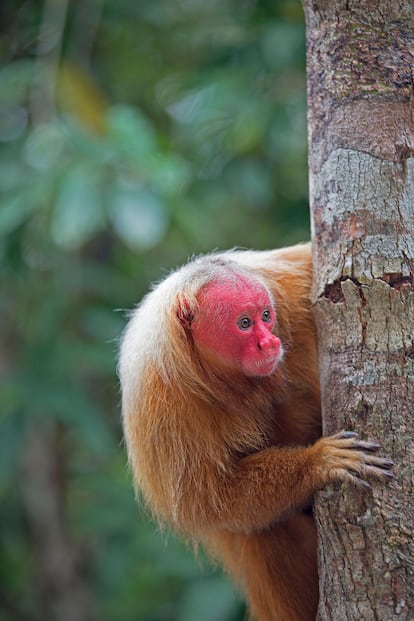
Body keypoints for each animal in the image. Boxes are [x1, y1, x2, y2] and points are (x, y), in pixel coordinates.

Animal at [118, 242, 392, 620]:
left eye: (266, 316)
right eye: (244, 324)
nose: (270, 343)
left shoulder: (291, 281)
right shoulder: (160, 401)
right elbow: (206, 501)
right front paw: (317, 463)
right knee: (262, 530)